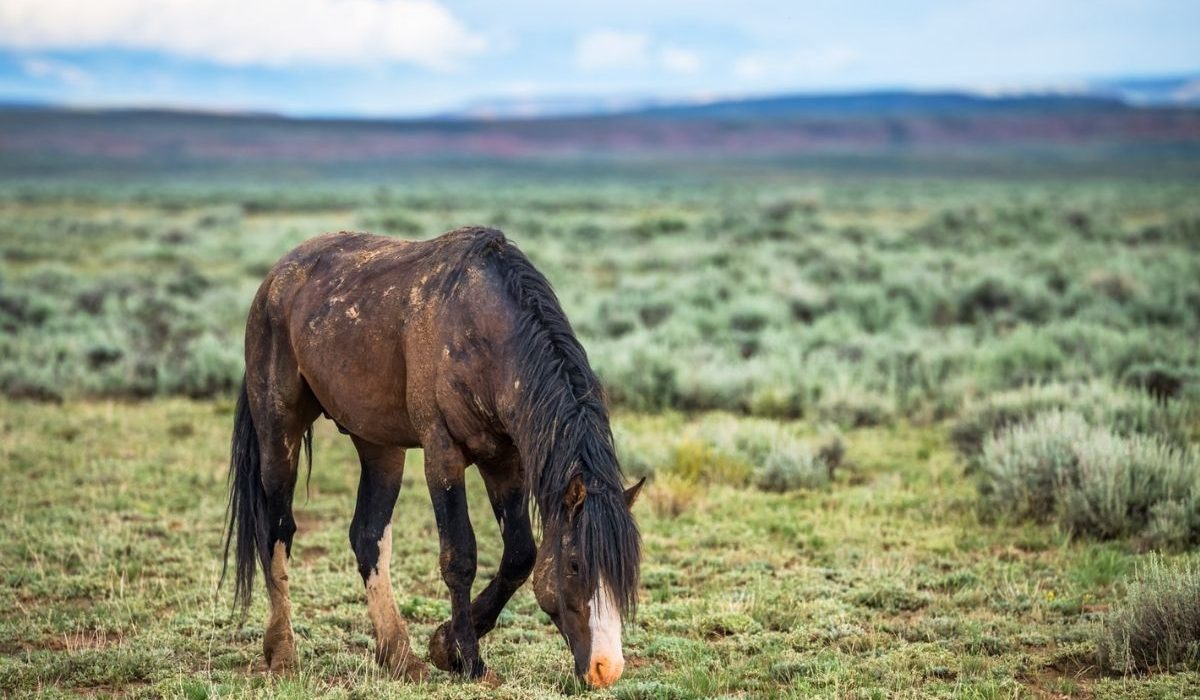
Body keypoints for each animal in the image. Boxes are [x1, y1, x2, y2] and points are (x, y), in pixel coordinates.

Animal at [222, 226, 643, 689]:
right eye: (574, 565)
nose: (606, 668)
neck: (482, 332)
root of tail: (276, 277)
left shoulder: (505, 461)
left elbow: (520, 555)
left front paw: (445, 646)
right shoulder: (443, 455)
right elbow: (459, 556)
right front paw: (469, 660)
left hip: (380, 446)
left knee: (368, 537)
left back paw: (400, 657)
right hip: (279, 433)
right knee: (278, 529)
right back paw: (282, 652)